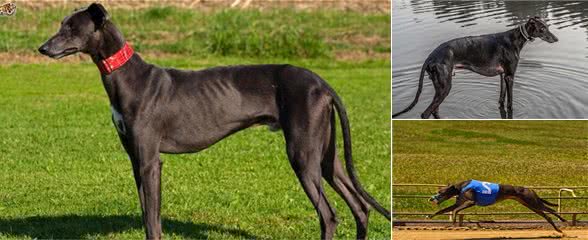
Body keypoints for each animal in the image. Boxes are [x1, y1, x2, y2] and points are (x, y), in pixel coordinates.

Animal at [40, 2, 390, 239]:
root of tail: (321, 83)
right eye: (61, 24)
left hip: (303, 156)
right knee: (360, 207)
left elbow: (153, 219)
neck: (127, 76)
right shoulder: (135, 159)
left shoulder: (150, 161)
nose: (42, 48)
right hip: (327, 157)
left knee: (329, 215)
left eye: (71, 27)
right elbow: (146, 213)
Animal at [392, 16, 560, 119]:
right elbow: (510, 103)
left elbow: (501, 100)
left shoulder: (502, 76)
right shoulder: (510, 76)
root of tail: (431, 57)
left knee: (434, 110)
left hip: (439, 87)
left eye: (547, 26)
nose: (556, 39)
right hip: (445, 86)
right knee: (425, 113)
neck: (515, 39)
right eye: (542, 29)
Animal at [428, 180, 564, 232]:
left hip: (532, 201)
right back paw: (558, 229)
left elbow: (455, 210)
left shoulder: (470, 202)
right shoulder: (460, 202)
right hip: (529, 205)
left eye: (441, 192)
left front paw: (454, 220)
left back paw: (563, 220)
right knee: (546, 215)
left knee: (550, 209)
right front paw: (430, 216)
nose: (431, 198)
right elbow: (443, 210)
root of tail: (529, 189)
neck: (461, 186)